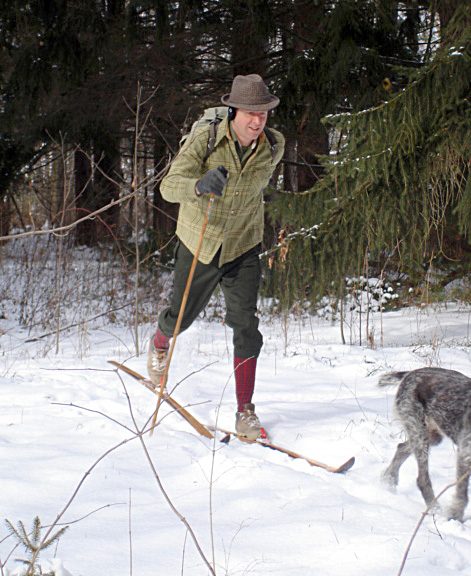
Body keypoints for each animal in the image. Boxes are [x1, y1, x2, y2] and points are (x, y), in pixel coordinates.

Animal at [380, 368, 471, 520]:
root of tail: (410, 373)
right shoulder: (465, 455)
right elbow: (462, 495)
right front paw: (455, 517)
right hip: (419, 433)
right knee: (422, 480)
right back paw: (435, 510)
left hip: (431, 436)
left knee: (401, 447)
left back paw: (389, 480)